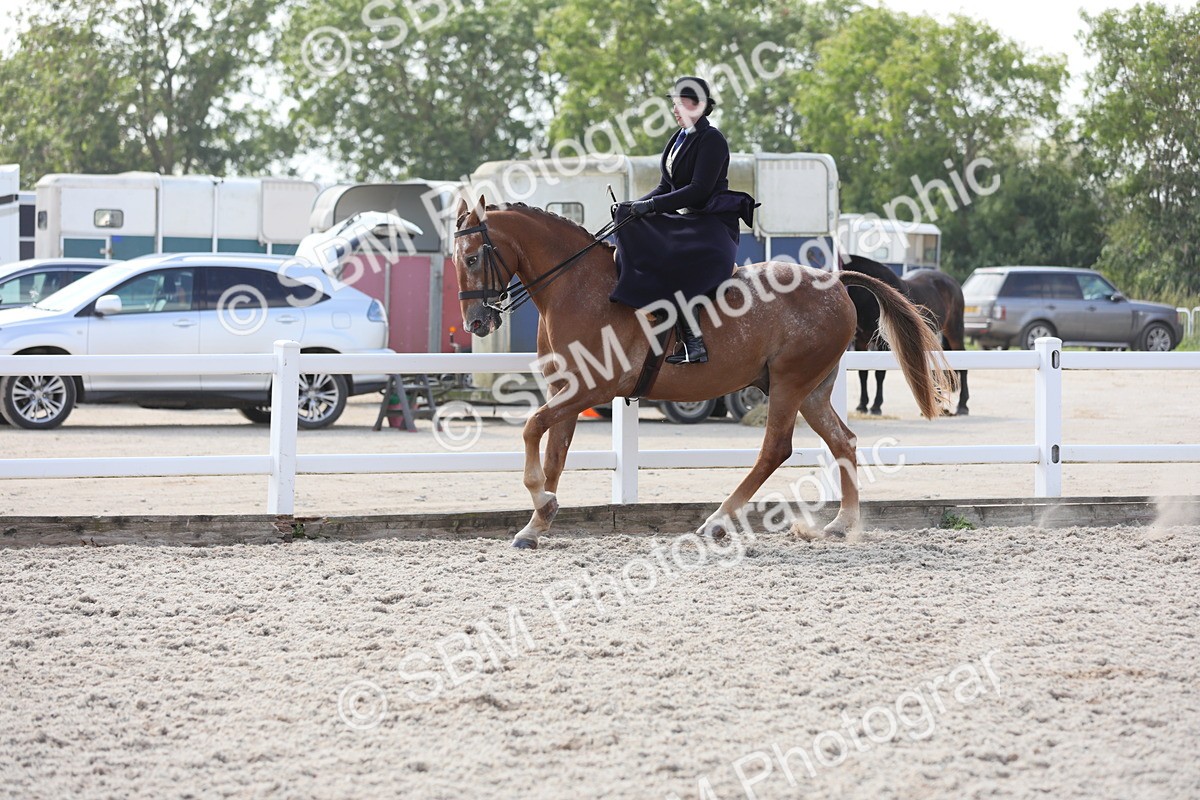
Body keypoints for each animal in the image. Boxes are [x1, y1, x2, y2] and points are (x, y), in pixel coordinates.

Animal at [452, 197, 955, 549]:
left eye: (473, 258)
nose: (476, 322)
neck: (577, 287)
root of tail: (834, 281)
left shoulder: (590, 388)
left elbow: (531, 428)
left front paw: (541, 500)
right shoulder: (566, 389)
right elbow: (553, 450)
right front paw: (537, 523)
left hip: (789, 383)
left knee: (775, 449)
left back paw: (717, 520)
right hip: (812, 389)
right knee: (842, 442)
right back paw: (840, 524)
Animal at [843, 255, 970, 416]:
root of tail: (953, 282)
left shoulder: (883, 342)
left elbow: (879, 373)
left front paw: (876, 406)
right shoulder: (861, 340)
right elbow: (862, 373)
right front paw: (862, 405)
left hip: (954, 331)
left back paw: (962, 405)